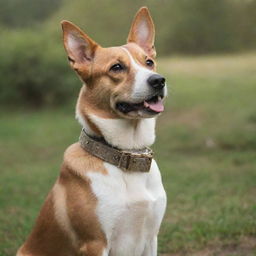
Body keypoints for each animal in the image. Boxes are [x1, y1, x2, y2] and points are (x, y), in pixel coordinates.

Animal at [17, 6, 167, 256]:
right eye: (117, 67)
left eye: (149, 62)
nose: (159, 81)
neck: (126, 153)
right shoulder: (95, 243)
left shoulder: (151, 238)